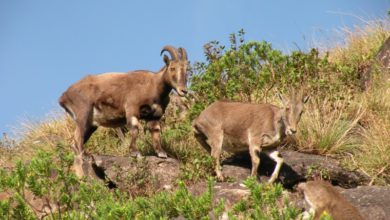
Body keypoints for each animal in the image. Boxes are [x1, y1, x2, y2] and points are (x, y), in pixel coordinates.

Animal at [59, 45, 189, 177]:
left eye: (187, 69)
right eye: (172, 68)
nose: (183, 90)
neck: (154, 86)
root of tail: (64, 97)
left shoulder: (154, 116)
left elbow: (155, 131)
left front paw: (161, 153)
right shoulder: (132, 108)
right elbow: (135, 129)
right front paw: (135, 152)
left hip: (91, 124)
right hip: (83, 115)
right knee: (77, 139)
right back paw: (84, 156)